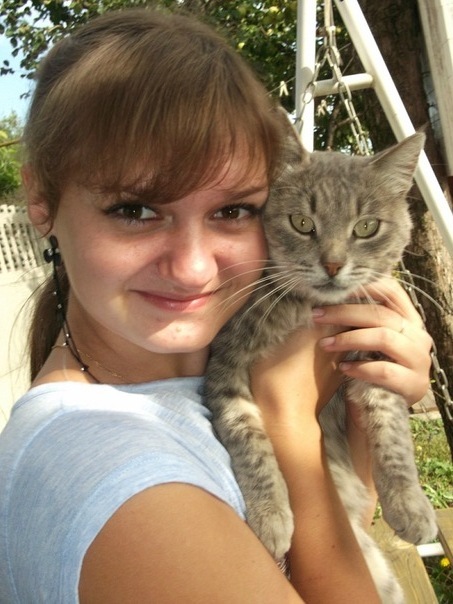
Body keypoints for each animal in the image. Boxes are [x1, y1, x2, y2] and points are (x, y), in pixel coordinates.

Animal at [203, 119, 437, 603]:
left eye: (366, 227)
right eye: (301, 223)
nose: (332, 265)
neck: (304, 307)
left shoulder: (371, 353)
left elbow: (392, 429)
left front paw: (410, 503)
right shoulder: (223, 367)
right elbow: (246, 434)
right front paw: (271, 514)